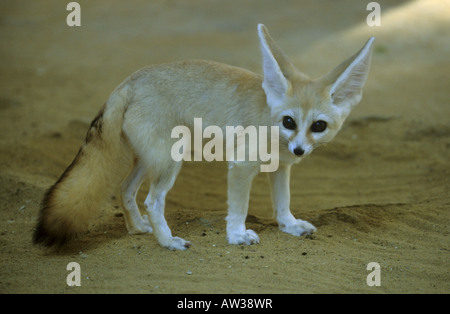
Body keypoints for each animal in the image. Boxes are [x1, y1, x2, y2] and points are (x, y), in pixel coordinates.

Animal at [33, 24, 374, 250]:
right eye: (289, 121)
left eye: (318, 126)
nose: (300, 150)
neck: (271, 121)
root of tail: (130, 80)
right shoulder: (242, 166)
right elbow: (238, 207)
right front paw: (236, 235)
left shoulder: (279, 167)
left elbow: (283, 202)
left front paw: (288, 226)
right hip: (170, 160)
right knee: (152, 200)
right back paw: (167, 241)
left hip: (150, 160)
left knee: (125, 188)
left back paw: (139, 228)